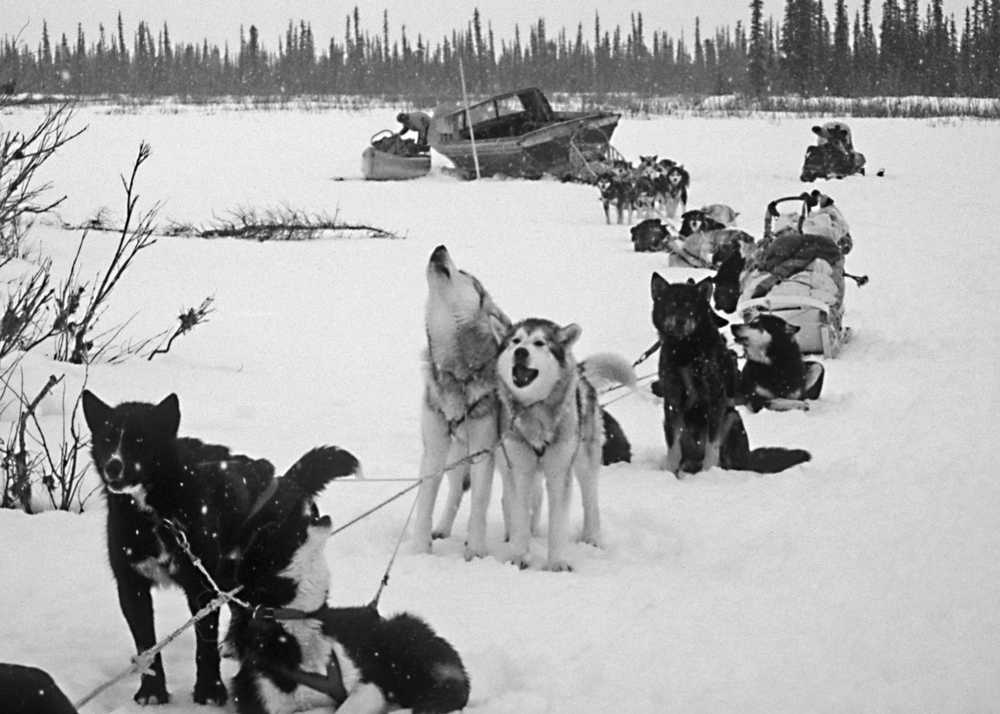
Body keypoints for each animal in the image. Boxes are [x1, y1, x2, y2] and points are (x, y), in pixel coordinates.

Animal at [227, 444, 468, 712]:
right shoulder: (258, 695)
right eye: (275, 527)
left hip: (402, 644)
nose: (303, 499)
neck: (295, 620)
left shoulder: (368, 684)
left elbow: (346, 706)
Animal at [496, 320, 636, 572]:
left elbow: (558, 523)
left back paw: (591, 538)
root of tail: (580, 374)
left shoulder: (559, 471)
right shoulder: (519, 469)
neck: (535, 414)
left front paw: (557, 563)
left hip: (585, 461)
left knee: (591, 502)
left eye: (539, 343)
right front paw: (519, 556)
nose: (520, 352)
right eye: (515, 341)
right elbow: (519, 514)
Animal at [648, 276, 812, 476]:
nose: (680, 321)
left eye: (690, 307)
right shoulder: (672, 400)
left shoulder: (715, 397)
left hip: (732, 418)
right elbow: (673, 444)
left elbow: (712, 443)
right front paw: (670, 471)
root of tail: (748, 457)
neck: (686, 349)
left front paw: (709, 471)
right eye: (671, 305)